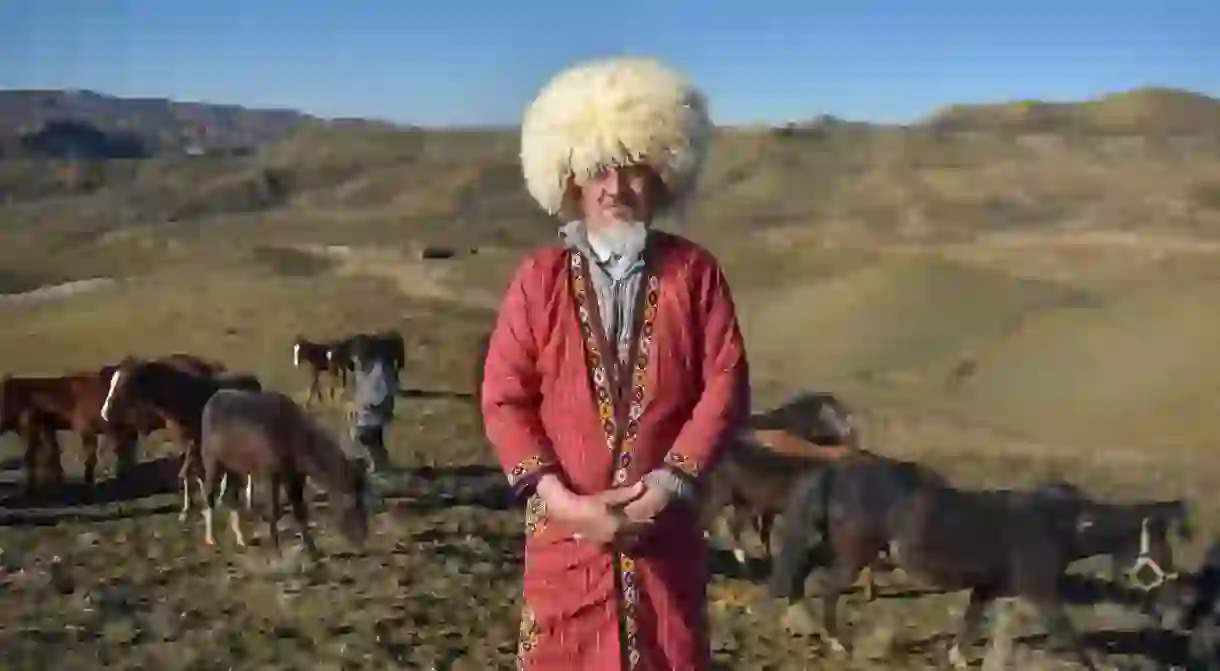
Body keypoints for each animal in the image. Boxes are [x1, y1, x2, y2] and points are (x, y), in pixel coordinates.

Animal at [101, 361, 262, 524]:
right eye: (112, 382)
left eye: (125, 384)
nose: (105, 412)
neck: (183, 400)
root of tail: (254, 382)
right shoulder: (185, 445)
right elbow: (189, 475)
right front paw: (187, 510)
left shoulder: (195, 444)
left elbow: (197, 474)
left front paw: (205, 505)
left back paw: (248, 501)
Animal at [198, 390, 375, 558]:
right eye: (353, 504)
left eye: (366, 504)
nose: (363, 545)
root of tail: (210, 402)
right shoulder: (270, 474)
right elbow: (274, 512)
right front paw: (277, 551)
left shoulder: (296, 477)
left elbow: (300, 510)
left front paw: (313, 550)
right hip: (212, 460)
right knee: (209, 493)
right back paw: (211, 538)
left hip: (235, 468)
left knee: (228, 496)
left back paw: (241, 539)